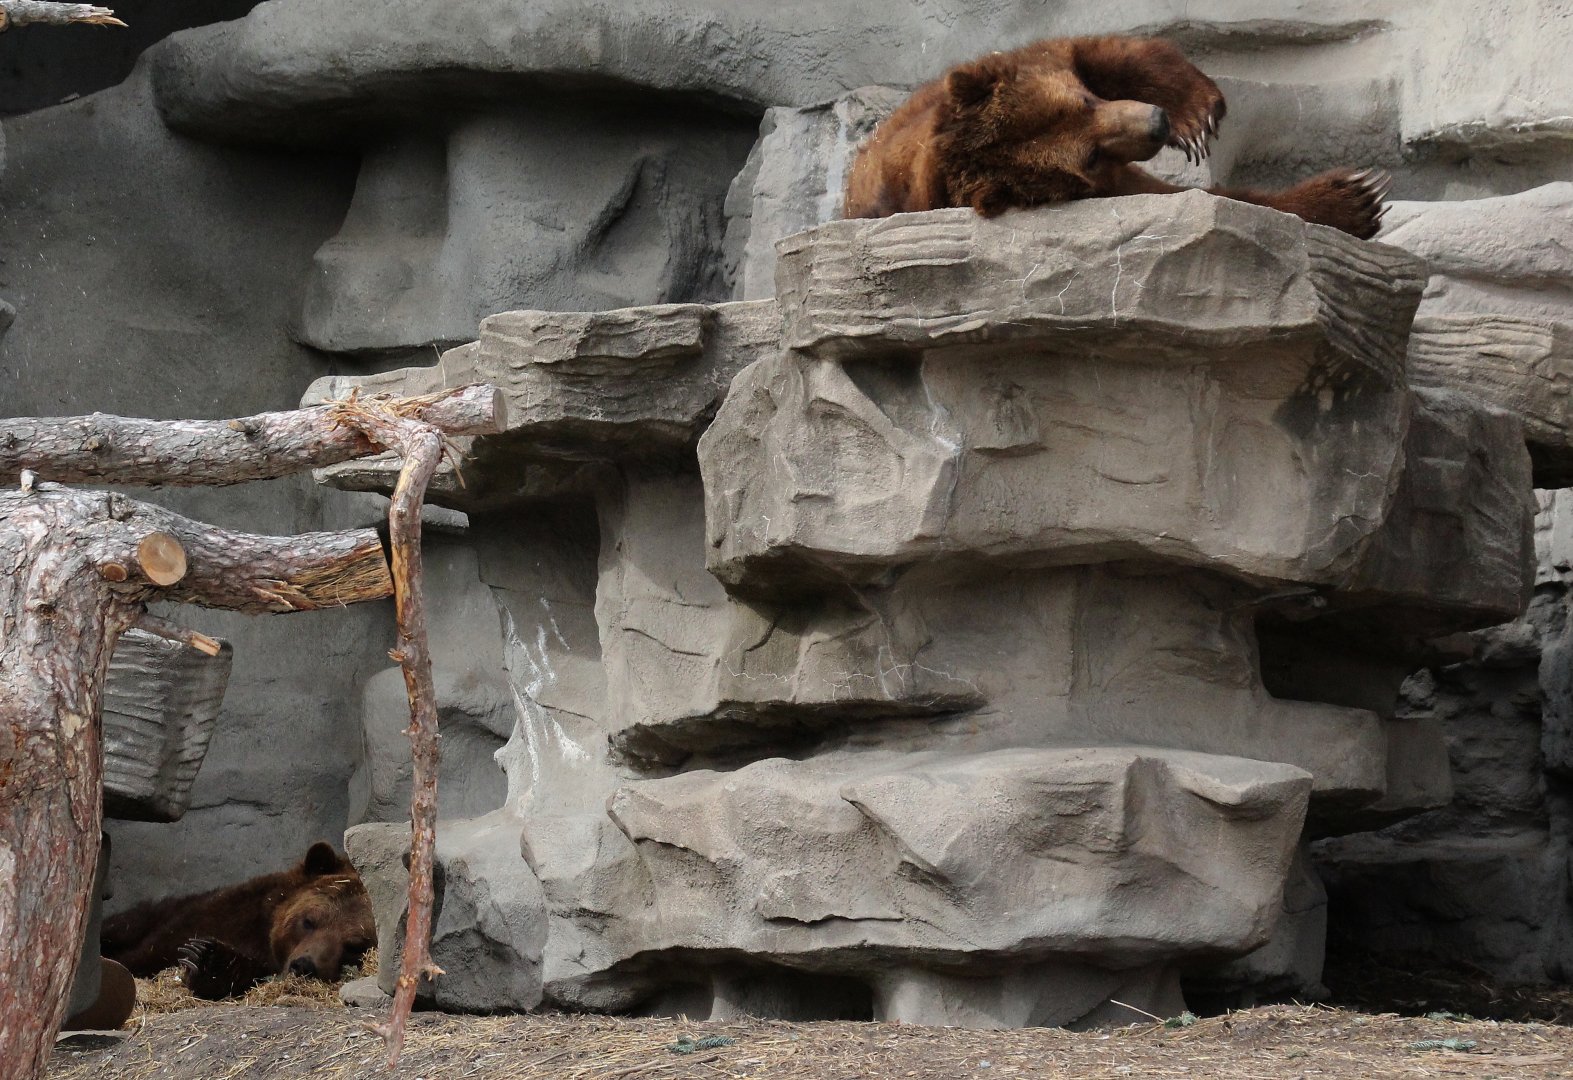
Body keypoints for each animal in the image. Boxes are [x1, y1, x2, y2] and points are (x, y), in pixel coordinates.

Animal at [100, 841, 375, 1000]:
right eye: (308, 921)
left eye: (354, 945)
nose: (305, 965)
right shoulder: (218, 914)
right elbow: (145, 955)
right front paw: (202, 954)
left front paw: (209, 960)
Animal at [843, 35, 1390, 239]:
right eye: (1087, 155)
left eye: (1082, 102)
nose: (1157, 123)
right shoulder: (1110, 184)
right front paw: (1356, 197)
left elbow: (1106, 51)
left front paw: (1195, 114)